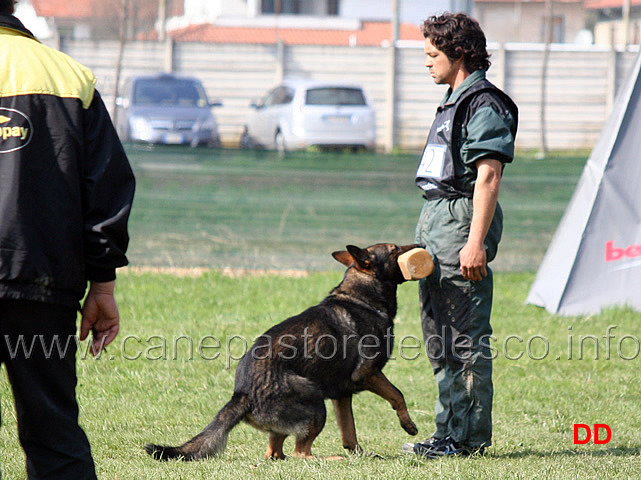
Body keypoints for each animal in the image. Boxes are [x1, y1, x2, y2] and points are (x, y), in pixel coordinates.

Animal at [145, 244, 420, 462]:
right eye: (394, 249)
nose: (420, 245)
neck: (362, 298)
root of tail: (242, 394)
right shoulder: (367, 374)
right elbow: (398, 395)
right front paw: (408, 425)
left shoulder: (342, 396)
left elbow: (349, 432)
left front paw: (360, 453)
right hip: (316, 404)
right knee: (301, 454)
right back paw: (332, 459)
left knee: (275, 453)